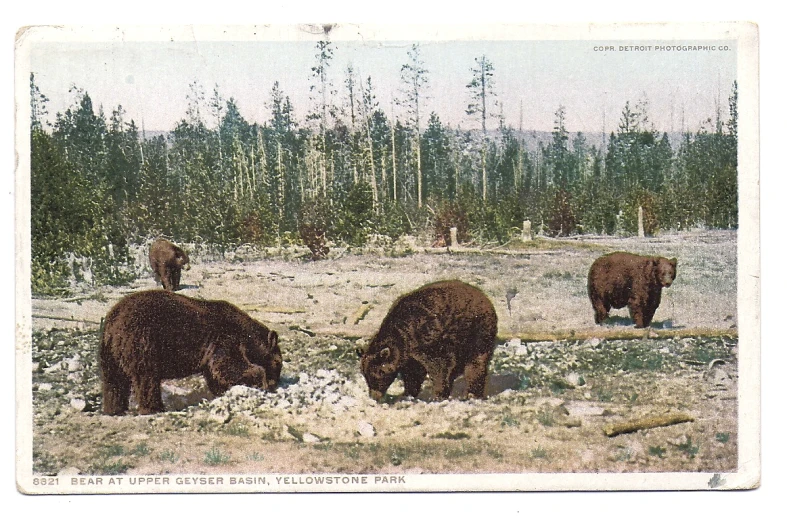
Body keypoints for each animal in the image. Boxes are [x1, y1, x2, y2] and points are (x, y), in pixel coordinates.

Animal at [99, 290, 284, 416]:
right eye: (278, 363)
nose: (275, 384)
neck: (245, 332)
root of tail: (113, 322)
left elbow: (215, 371)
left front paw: (222, 391)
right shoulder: (225, 337)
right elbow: (229, 364)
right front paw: (260, 380)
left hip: (110, 351)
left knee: (113, 379)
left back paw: (114, 409)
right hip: (142, 340)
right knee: (146, 377)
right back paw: (154, 408)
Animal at [358, 282, 498, 400]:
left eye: (378, 373)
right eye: (365, 375)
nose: (374, 396)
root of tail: (485, 297)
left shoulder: (428, 337)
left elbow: (439, 365)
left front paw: (437, 394)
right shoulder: (409, 353)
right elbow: (413, 373)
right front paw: (408, 393)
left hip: (476, 331)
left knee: (476, 362)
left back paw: (472, 393)